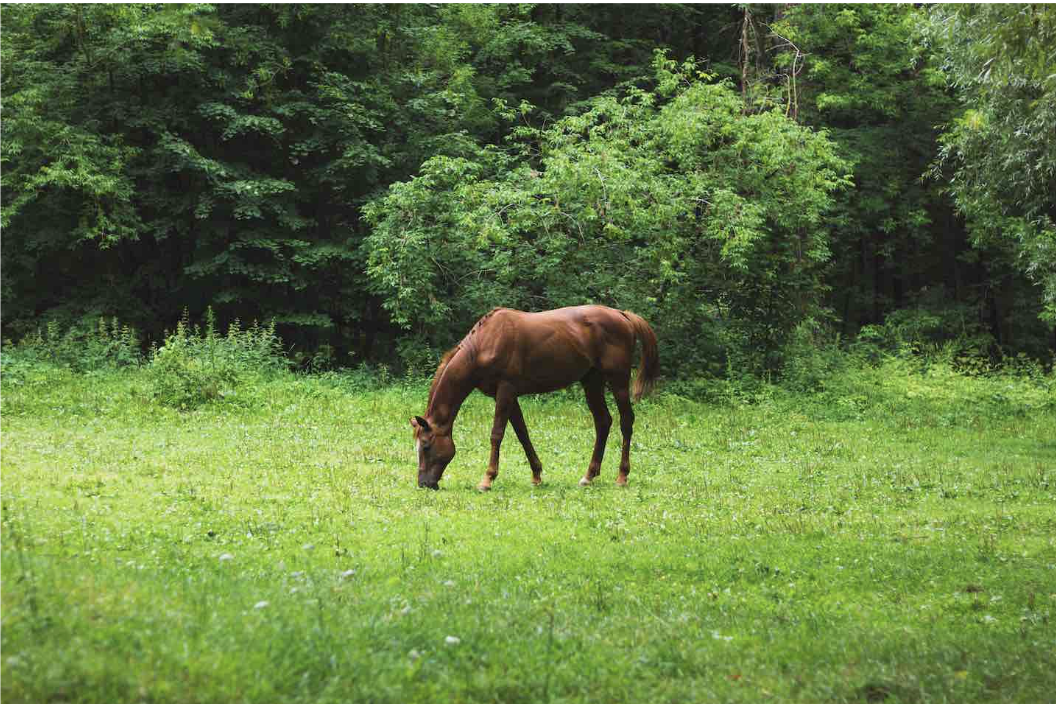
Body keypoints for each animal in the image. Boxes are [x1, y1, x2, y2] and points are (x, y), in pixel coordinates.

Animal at [410, 305, 658, 490]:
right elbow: (522, 433)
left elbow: (496, 435)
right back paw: (588, 476)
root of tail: (622, 315)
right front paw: (537, 474)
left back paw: (622, 476)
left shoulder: (506, 391)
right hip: (592, 382)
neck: (484, 344)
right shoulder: (508, 396)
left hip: (618, 382)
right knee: (603, 421)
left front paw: (487, 479)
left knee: (626, 421)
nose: (424, 484)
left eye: (426, 446)